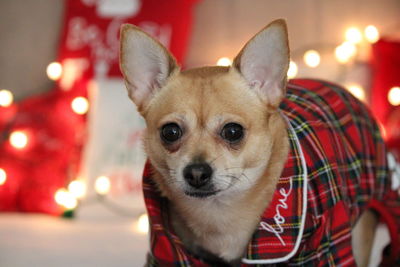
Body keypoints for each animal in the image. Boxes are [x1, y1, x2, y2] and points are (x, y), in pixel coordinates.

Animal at [119, 19, 396, 266]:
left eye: (233, 131)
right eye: (170, 132)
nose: (196, 172)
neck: (220, 213)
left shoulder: (325, 246)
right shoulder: (169, 251)